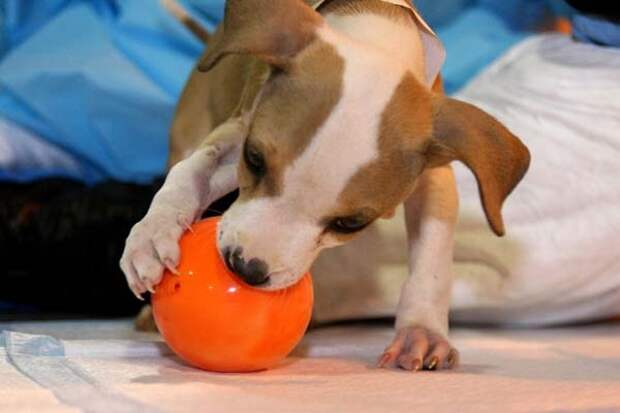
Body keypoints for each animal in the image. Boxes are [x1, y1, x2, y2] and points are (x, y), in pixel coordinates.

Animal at [118, 0, 532, 370]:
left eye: (350, 224)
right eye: (254, 159)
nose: (245, 269)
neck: (376, 33)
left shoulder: (433, 170)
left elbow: (432, 255)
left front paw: (421, 331)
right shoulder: (239, 132)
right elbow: (190, 173)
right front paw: (152, 237)